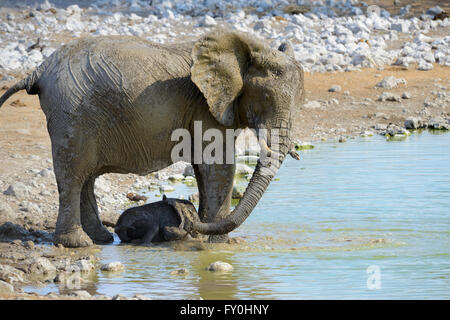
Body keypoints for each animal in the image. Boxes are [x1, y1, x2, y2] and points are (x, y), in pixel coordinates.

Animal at [0, 28, 304, 248]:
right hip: (71, 112)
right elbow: (218, 165)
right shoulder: (205, 106)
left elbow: (203, 167)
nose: (182, 218)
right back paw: (78, 244)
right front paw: (219, 245)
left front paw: (205, 237)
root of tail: (38, 70)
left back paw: (100, 239)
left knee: (85, 177)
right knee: (74, 174)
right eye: (266, 97)